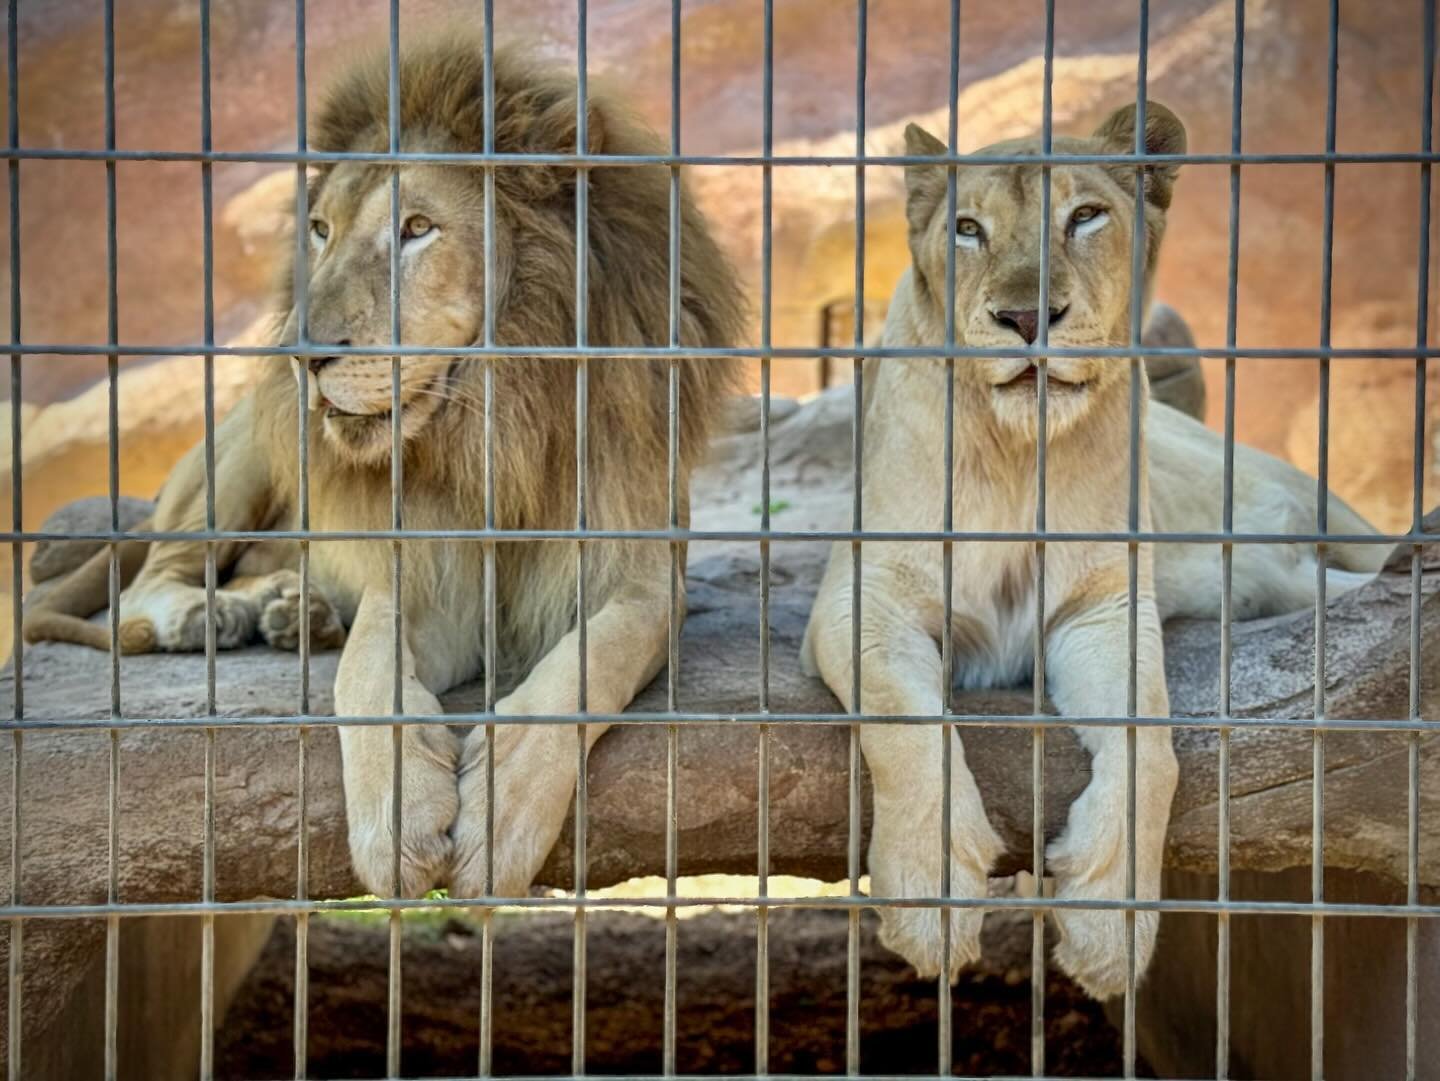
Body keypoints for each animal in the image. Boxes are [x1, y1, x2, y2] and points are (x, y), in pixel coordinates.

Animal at [24, 38, 745, 901]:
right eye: (320, 230)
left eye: (418, 228)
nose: (299, 353)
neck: (495, 426)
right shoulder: (424, 575)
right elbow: (366, 669)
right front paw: (399, 810)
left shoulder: (643, 575)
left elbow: (592, 658)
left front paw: (501, 805)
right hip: (242, 454)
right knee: (147, 582)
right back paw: (211, 615)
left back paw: (290, 609)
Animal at [801, 102, 1384, 999]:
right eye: (967, 229)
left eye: (1084, 217)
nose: (1024, 319)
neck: (1017, 455)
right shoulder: (865, 594)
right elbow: (907, 722)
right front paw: (932, 894)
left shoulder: (1103, 607)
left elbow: (1151, 746)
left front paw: (1109, 920)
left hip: (1319, 510)